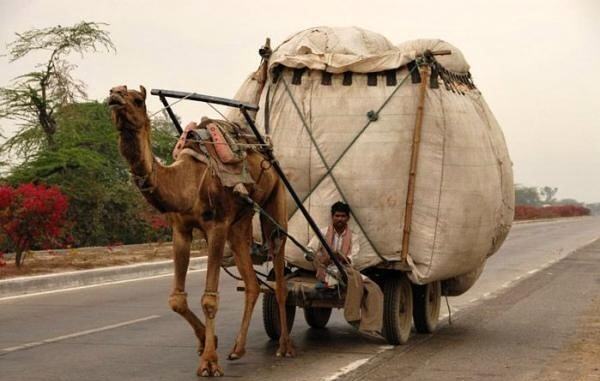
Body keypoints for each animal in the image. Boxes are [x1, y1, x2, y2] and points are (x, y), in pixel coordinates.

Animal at [109, 84, 296, 376]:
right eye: (114, 90)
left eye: (138, 100)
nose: (114, 97)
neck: (186, 181)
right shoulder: (181, 230)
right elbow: (176, 300)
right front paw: (210, 342)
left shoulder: (216, 226)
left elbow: (209, 299)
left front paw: (209, 362)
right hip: (240, 222)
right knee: (253, 283)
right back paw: (237, 349)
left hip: (276, 198)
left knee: (279, 275)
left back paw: (285, 347)